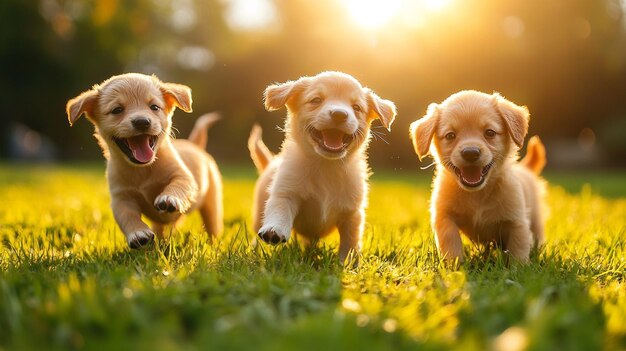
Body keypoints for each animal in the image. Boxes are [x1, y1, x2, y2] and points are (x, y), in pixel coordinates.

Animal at [65, 73, 222, 249]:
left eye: (154, 107)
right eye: (117, 110)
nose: (142, 122)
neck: (143, 169)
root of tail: (195, 145)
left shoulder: (184, 176)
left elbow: (178, 184)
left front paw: (169, 198)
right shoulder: (121, 198)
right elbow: (127, 216)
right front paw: (137, 233)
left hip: (212, 204)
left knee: (212, 226)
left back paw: (213, 244)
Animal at [245, 71, 394, 262]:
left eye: (357, 107)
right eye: (316, 100)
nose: (339, 114)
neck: (326, 165)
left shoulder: (352, 213)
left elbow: (350, 241)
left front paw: (347, 263)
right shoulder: (286, 192)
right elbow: (280, 209)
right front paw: (274, 229)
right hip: (258, 213)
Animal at [408, 91, 544, 264]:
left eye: (490, 133)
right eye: (450, 135)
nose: (470, 153)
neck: (477, 194)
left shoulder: (517, 221)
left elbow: (518, 249)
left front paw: (520, 267)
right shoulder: (444, 216)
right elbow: (450, 241)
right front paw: (454, 265)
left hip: (536, 219)